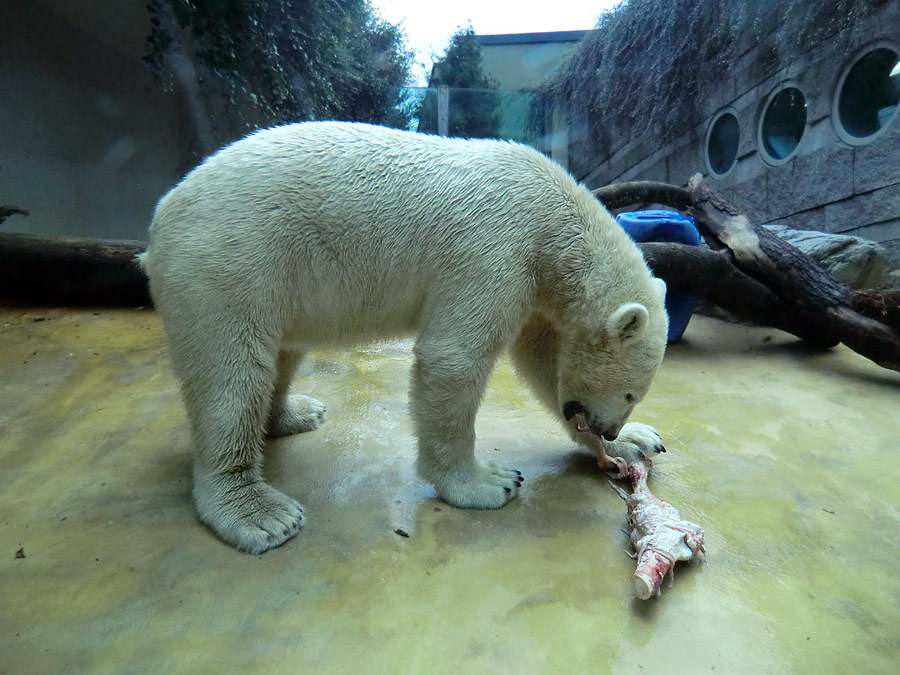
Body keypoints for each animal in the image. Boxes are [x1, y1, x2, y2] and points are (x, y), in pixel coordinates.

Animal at [141, 121, 672, 556]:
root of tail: (162, 214)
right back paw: (260, 512)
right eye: (630, 391)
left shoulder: (535, 286)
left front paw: (639, 442)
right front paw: (489, 482)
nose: (607, 430)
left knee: (281, 356)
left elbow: (543, 363)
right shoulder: (495, 248)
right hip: (228, 262)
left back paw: (297, 413)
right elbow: (454, 359)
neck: (554, 216)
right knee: (231, 376)